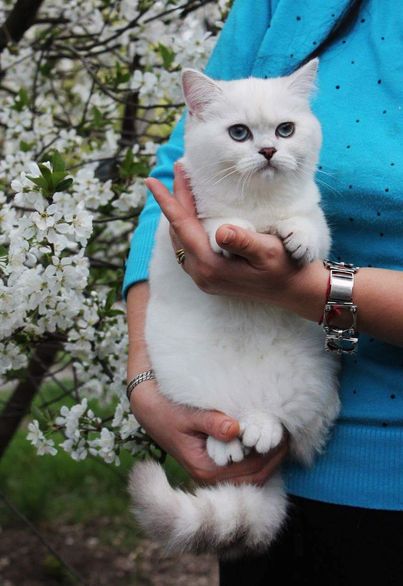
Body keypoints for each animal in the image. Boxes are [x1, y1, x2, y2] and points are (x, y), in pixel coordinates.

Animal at [130, 60, 340, 556]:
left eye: (286, 130)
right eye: (239, 133)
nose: (267, 150)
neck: (258, 207)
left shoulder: (316, 222)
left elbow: (310, 227)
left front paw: (295, 238)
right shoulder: (193, 222)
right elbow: (219, 224)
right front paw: (231, 232)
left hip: (310, 375)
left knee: (288, 425)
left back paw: (267, 428)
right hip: (188, 375)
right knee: (225, 419)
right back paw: (229, 442)